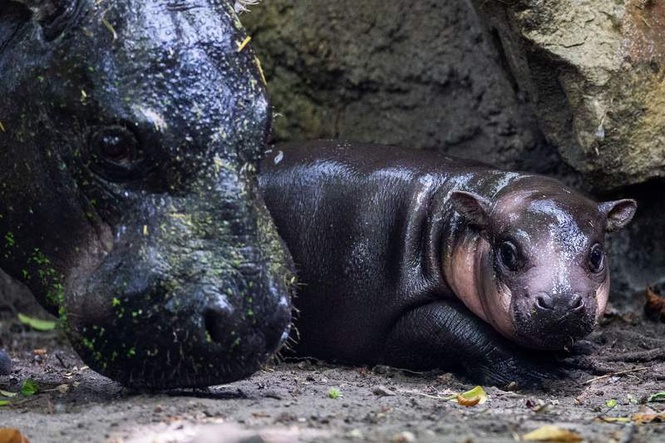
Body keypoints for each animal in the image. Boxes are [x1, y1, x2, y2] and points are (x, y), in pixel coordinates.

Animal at [260, 141, 637, 387]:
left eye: (597, 254)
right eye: (508, 252)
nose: (559, 302)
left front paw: (574, 353)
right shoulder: (395, 317)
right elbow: (456, 328)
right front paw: (541, 373)